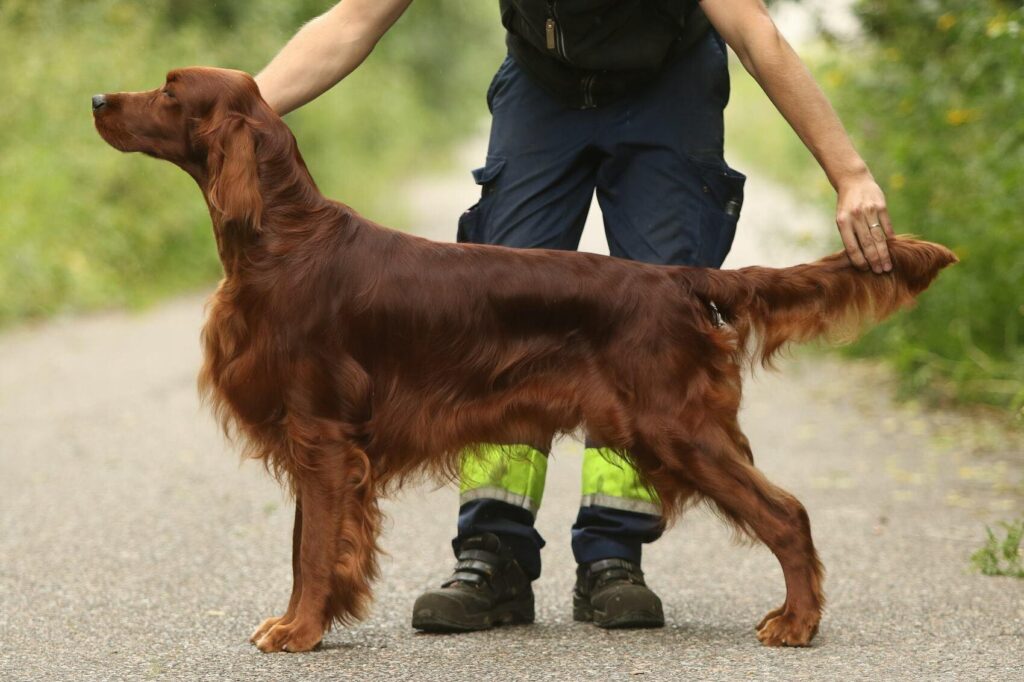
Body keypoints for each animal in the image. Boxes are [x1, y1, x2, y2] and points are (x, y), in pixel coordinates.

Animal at [92, 67, 954, 647]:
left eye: (170, 91)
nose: (98, 101)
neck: (283, 238)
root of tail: (676, 277)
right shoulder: (322, 442)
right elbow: (316, 543)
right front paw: (313, 619)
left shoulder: (323, 432)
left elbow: (310, 549)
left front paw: (298, 631)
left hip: (678, 428)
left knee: (788, 513)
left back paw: (797, 621)